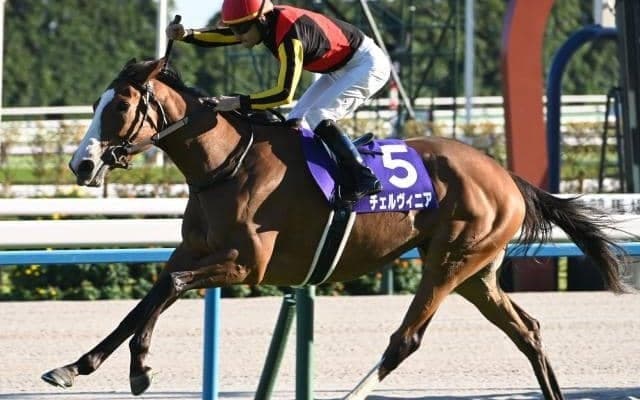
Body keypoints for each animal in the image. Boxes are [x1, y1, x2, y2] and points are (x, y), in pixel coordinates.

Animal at [42, 57, 627, 400]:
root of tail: (505, 174)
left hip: (451, 261)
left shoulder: (247, 265)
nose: (80, 164)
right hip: (476, 272)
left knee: (406, 339)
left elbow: (172, 289)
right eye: (95, 104)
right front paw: (78, 365)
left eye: (119, 106)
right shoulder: (193, 251)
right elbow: (151, 295)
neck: (227, 164)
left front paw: (139, 367)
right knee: (527, 331)